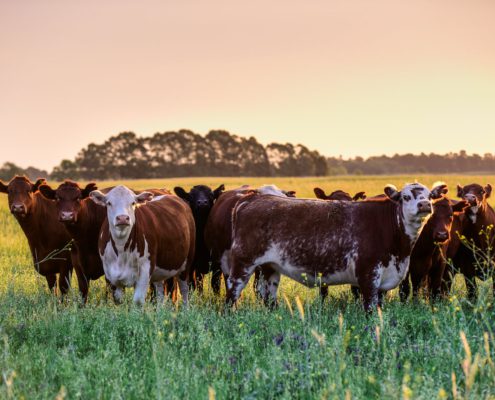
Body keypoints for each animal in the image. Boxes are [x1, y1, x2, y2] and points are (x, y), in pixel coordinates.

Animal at [227, 183, 436, 310]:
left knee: (268, 297)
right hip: (242, 264)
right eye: (406, 197)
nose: (425, 205)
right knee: (231, 293)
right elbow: (370, 311)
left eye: (429, 196)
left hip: (269, 268)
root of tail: (251, 199)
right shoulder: (368, 275)